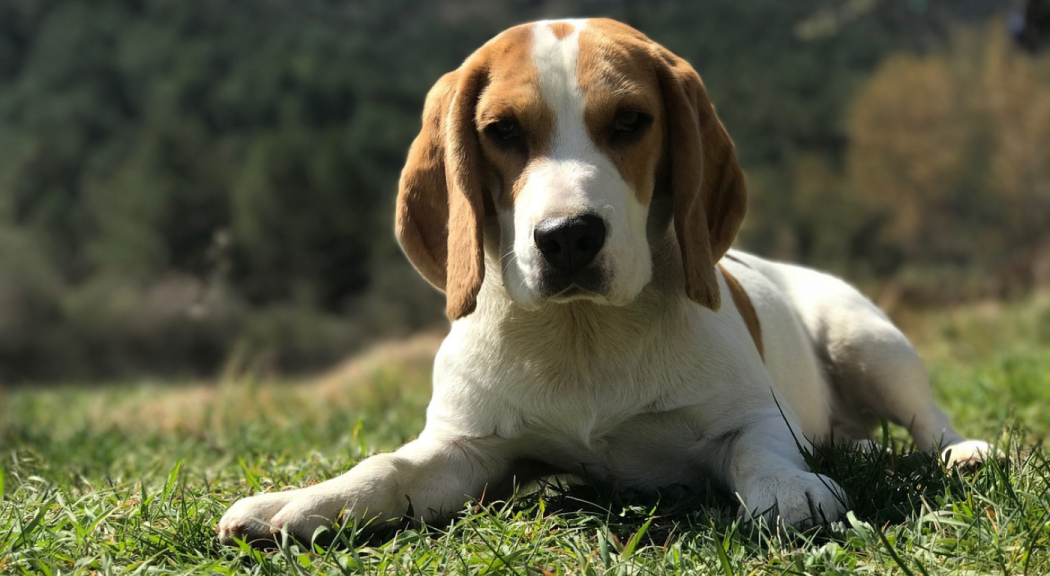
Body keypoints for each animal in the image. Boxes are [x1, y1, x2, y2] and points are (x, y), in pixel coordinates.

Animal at [215, 15, 991, 541]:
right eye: (501, 131)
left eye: (630, 121)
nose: (568, 237)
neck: (582, 331)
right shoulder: (463, 450)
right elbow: (387, 467)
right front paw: (302, 502)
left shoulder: (751, 417)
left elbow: (759, 450)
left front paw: (791, 488)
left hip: (867, 339)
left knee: (927, 419)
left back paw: (961, 453)